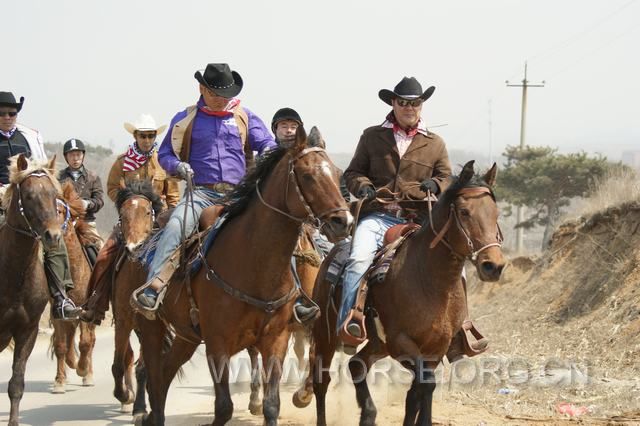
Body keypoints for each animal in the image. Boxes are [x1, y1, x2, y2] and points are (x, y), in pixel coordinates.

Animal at [136, 126, 352, 426]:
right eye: (308, 175)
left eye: (337, 173)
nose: (343, 222)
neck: (255, 265)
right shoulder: (217, 343)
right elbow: (223, 407)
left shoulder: (276, 338)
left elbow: (272, 404)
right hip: (151, 328)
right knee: (154, 375)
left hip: (186, 336)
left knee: (165, 373)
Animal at [293, 161, 507, 426]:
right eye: (465, 212)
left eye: (495, 214)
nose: (493, 265)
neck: (430, 281)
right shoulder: (401, 342)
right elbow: (425, 386)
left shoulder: (435, 350)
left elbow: (418, 393)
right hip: (327, 333)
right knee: (322, 381)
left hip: (377, 344)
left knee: (357, 365)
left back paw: (368, 414)